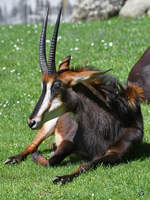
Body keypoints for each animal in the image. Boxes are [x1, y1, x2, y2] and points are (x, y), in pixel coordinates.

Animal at [4, 6, 145, 184]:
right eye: (43, 86)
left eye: (57, 85)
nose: (31, 121)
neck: (113, 122)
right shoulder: (69, 141)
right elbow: (52, 161)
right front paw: (45, 158)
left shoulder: (116, 153)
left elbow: (88, 164)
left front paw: (63, 177)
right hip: (48, 124)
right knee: (32, 145)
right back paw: (14, 158)